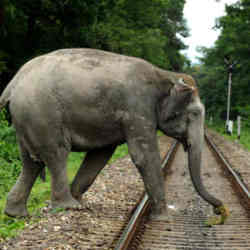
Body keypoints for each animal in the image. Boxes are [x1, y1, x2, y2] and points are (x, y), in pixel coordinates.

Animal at [0, 48, 225, 221]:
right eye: (194, 113)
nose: (219, 210)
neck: (164, 74)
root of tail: (11, 86)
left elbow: (100, 154)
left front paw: (80, 198)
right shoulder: (137, 108)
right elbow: (144, 156)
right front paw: (164, 217)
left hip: (27, 119)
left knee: (31, 163)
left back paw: (17, 214)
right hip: (42, 114)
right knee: (57, 154)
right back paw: (69, 207)